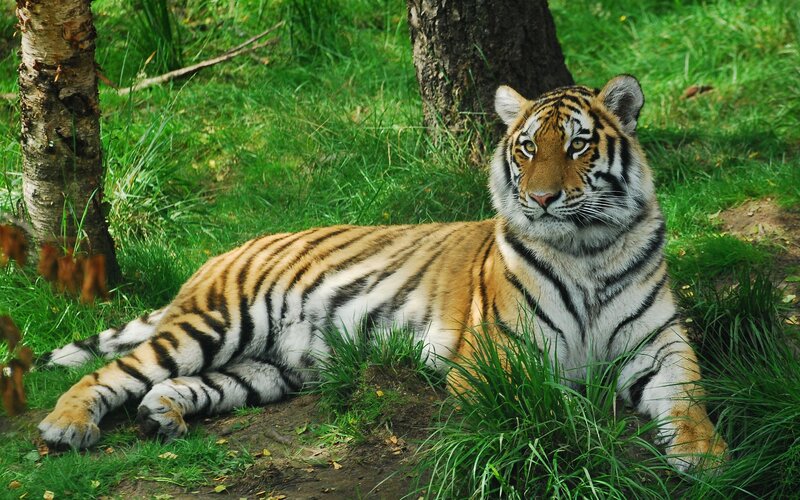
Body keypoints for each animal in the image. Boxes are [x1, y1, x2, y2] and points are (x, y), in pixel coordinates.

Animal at [38, 75, 726, 471]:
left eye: (578, 145)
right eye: (529, 147)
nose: (541, 198)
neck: (587, 251)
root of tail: (219, 254)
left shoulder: (660, 345)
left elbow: (689, 399)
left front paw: (706, 455)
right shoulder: (500, 358)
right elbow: (554, 406)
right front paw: (586, 429)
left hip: (269, 368)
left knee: (177, 385)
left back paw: (162, 417)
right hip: (217, 323)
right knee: (113, 372)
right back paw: (65, 427)